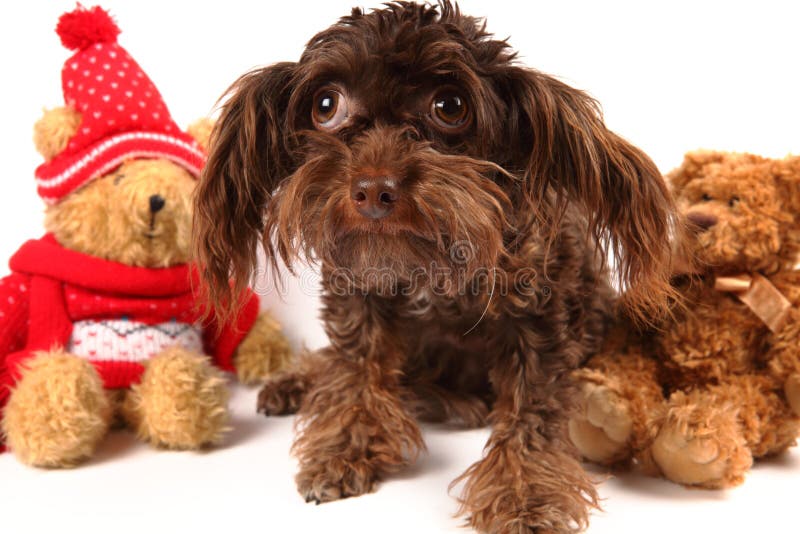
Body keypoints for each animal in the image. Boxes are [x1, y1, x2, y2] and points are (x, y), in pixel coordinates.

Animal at [192, 2, 676, 532]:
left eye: (449, 106)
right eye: (326, 105)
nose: (373, 190)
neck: (431, 263)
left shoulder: (540, 325)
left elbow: (532, 415)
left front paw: (526, 494)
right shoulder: (357, 298)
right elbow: (356, 375)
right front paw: (345, 448)